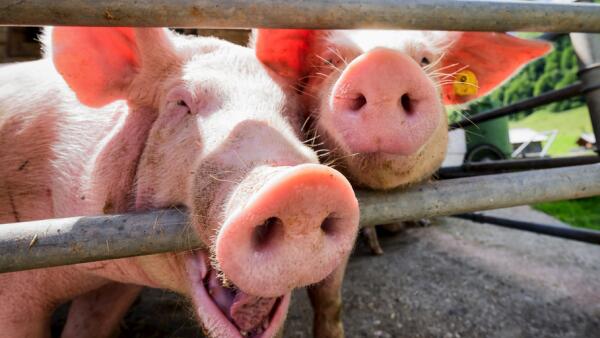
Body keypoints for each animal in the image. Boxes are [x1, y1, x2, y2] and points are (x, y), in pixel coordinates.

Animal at [0, 27, 358, 338]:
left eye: (289, 112)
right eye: (181, 103)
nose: (307, 187)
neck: (86, 269)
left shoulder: (113, 289)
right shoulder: (15, 298)